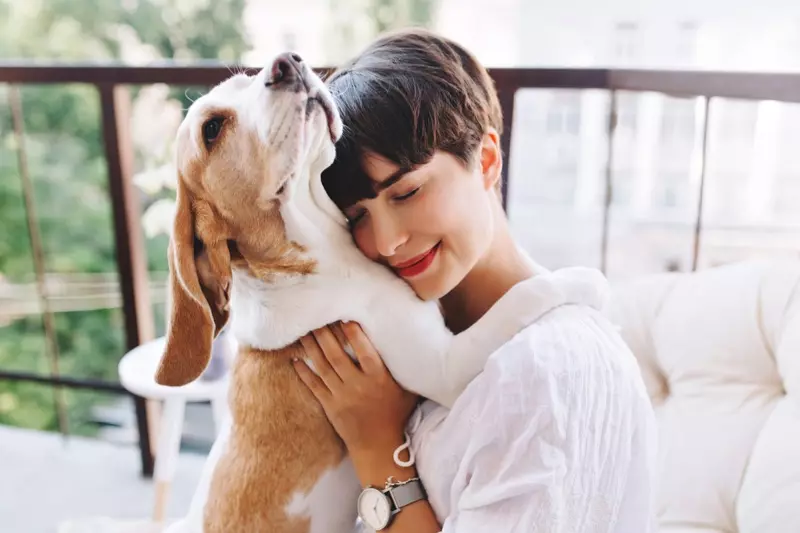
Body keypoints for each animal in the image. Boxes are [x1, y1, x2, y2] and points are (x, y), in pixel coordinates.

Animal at [155, 53, 506, 532]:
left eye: (247, 80)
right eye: (212, 129)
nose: (287, 62)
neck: (320, 256)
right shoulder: (442, 367)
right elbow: (537, 293)